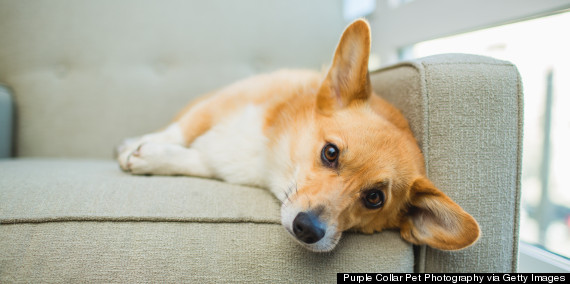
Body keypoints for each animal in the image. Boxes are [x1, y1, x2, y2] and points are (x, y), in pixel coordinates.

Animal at [116, 18, 480, 252]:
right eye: (330, 153)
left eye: (374, 198)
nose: (307, 230)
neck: (269, 152)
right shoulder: (219, 103)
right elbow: (179, 131)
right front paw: (141, 148)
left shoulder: (222, 164)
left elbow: (194, 159)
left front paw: (152, 158)